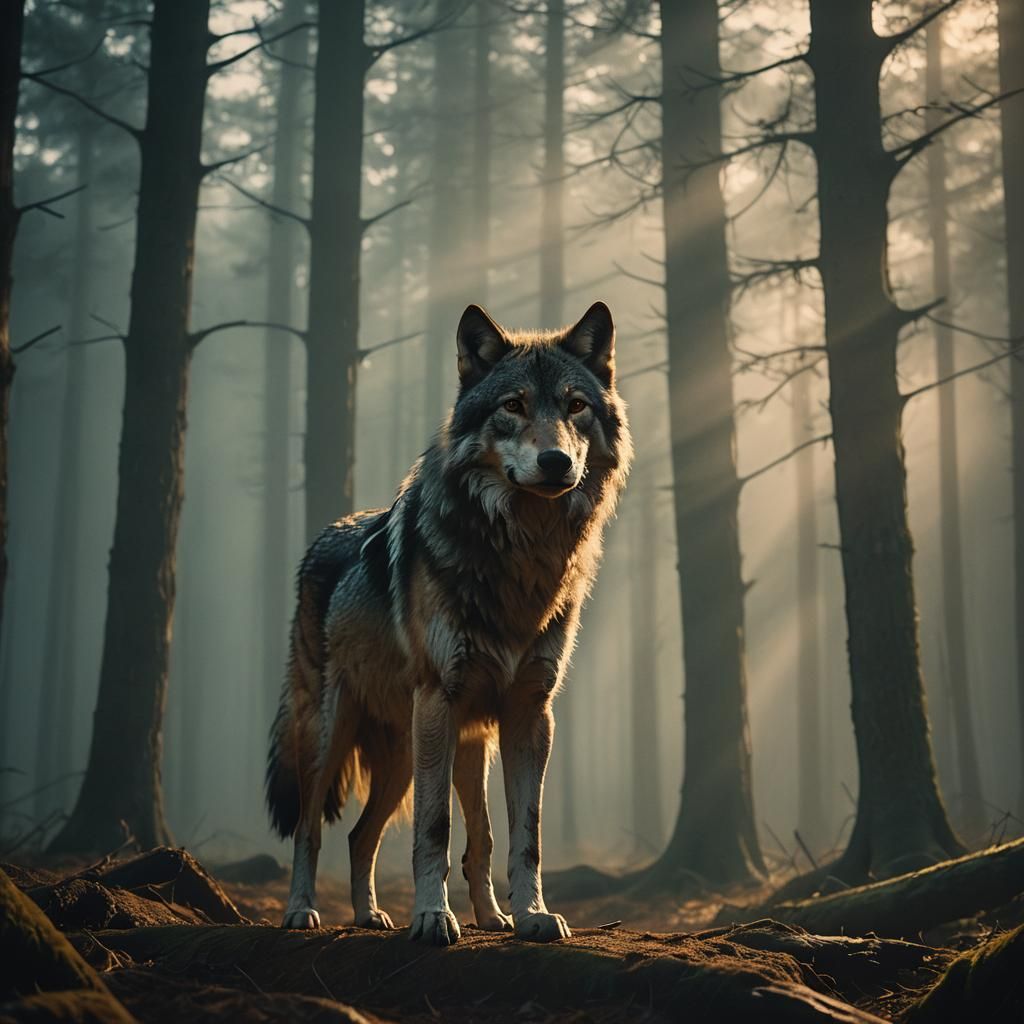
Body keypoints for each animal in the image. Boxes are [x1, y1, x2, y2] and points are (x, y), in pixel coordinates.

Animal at [266, 301, 631, 945]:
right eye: (513, 405)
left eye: (574, 406)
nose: (556, 461)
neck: (521, 556)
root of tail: (324, 535)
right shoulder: (441, 699)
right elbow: (434, 830)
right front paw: (433, 917)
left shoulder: (528, 713)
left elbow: (522, 834)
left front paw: (531, 916)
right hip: (338, 736)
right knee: (311, 828)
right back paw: (302, 910)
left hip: (432, 753)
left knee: (370, 836)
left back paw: (402, 915)